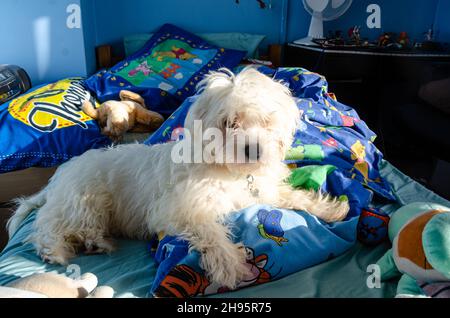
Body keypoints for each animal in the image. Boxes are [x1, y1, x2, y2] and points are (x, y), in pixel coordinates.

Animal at [8, 68, 350, 290]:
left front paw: (330, 208)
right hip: (84, 202)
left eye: (266, 120)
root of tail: (59, 177)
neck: (229, 170)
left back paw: (95, 244)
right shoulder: (179, 209)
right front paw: (231, 265)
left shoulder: (260, 191)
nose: (254, 150)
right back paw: (61, 249)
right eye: (229, 123)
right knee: (47, 228)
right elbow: (210, 231)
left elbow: (291, 197)